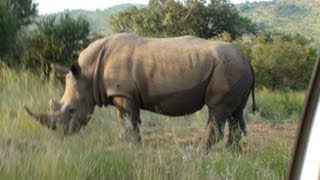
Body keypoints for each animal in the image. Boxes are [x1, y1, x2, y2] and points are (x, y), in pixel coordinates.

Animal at [23, 33, 256, 150]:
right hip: (236, 69)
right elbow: (124, 120)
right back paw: (231, 152)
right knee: (235, 113)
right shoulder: (121, 94)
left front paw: (134, 146)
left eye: (71, 110)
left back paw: (201, 151)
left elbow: (131, 119)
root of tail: (246, 58)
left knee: (217, 110)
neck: (89, 73)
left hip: (228, 68)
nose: (62, 134)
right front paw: (126, 141)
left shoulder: (124, 94)